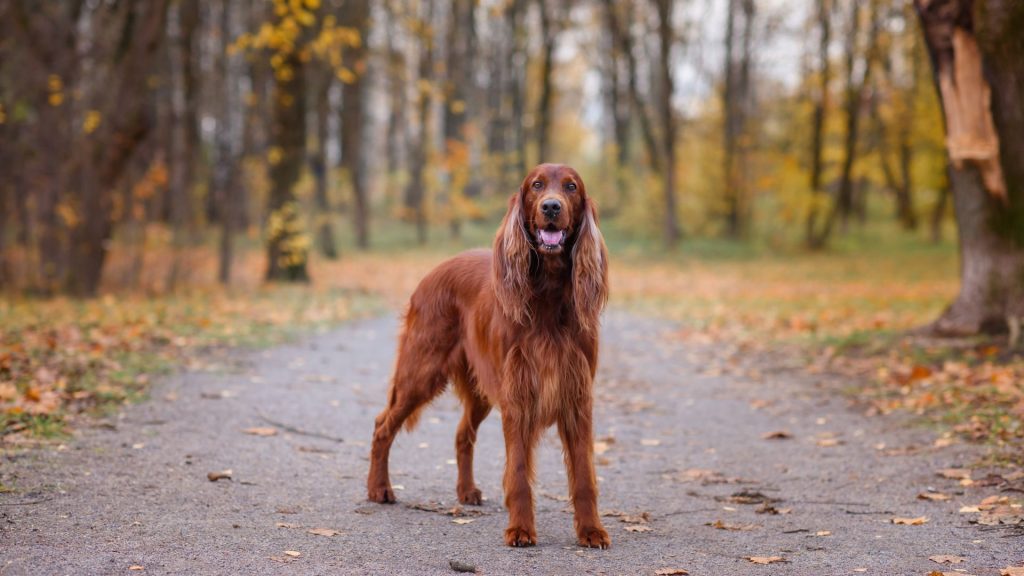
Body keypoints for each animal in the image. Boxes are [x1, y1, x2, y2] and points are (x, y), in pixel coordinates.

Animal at [368, 162, 606, 545]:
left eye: (571, 187)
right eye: (536, 185)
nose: (551, 207)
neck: (548, 296)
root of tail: (434, 271)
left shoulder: (577, 397)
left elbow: (584, 474)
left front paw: (592, 531)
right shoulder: (517, 395)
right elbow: (519, 471)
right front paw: (521, 529)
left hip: (480, 389)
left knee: (462, 433)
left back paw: (466, 491)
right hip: (420, 371)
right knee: (382, 424)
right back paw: (379, 489)